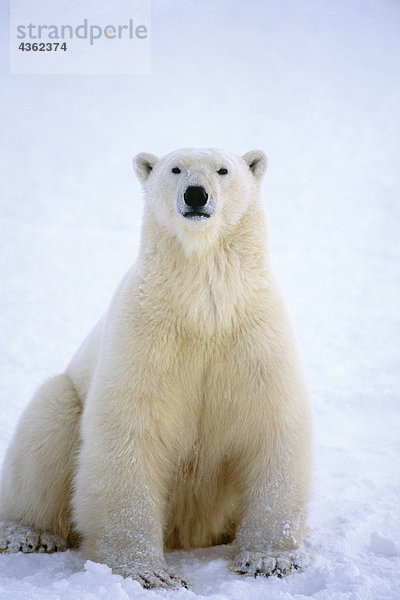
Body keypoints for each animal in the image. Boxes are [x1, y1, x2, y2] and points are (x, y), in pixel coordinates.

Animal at [0, 148, 312, 588]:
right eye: (175, 169)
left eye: (223, 170)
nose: (196, 194)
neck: (203, 309)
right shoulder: (146, 336)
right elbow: (130, 434)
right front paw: (150, 573)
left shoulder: (253, 337)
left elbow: (272, 427)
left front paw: (270, 560)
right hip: (65, 398)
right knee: (46, 429)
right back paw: (28, 533)